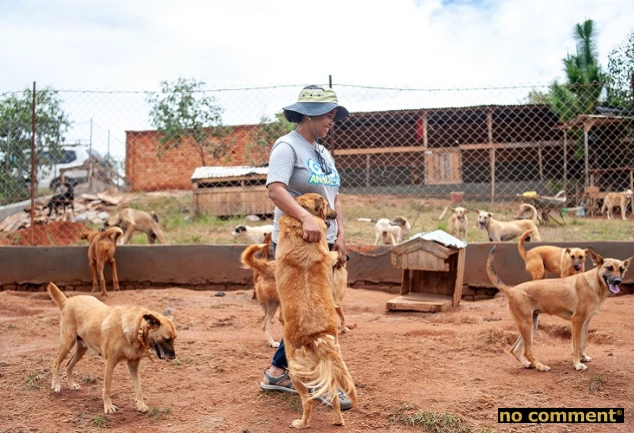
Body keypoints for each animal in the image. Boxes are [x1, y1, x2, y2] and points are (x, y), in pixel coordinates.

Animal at [47, 282, 177, 414]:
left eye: (174, 338)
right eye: (167, 339)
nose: (173, 357)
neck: (137, 329)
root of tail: (68, 300)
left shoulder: (134, 365)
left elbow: (138, 388)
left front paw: (140, 404)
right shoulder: (109, 363)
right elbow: (107, 388)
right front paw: (108, 407)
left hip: (81, 349)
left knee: (68, 365)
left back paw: (71, 384)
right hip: (67, 343)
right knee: (55, 363)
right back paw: (56, 384)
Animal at [276, 193, 356, 428]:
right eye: (328, 206)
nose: (336, 214)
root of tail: (317, 336)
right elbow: (330, 256)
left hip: (296, 372)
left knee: (308, 402)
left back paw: (301, 423)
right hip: (331, 366)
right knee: (334, 395)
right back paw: (338, 420)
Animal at [484, 246, 628, 372]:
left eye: (621, 269)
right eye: (609, 268)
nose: (618, 281)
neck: (594, 283)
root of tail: (511, 289)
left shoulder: (586, 322)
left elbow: (582, 343)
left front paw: (582, 357)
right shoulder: (577, 321)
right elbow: (576, 345)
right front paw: (577, 364)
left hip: (531, 325)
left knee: (515, 350)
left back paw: (529, 364)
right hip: (527, 324)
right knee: (527, 351)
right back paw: (540, 366)